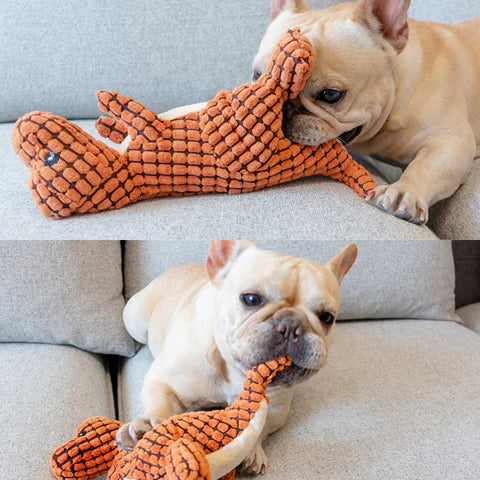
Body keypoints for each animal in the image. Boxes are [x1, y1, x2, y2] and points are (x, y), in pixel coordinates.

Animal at [116, 242, 356, 474]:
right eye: (251, 299)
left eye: (327, 317)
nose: (291, 325)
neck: (232, 369)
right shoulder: (163, 382)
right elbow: (161, 406)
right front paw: (147, 427)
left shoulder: (276, 407)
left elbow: (260, 428)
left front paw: (252, 453)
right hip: (134, 321)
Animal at [253, 0, 478, 225]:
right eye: (257, 75)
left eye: (330, 94)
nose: (283, 106)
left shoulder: (451, 143)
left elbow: (425, 165)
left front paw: (404, 191)